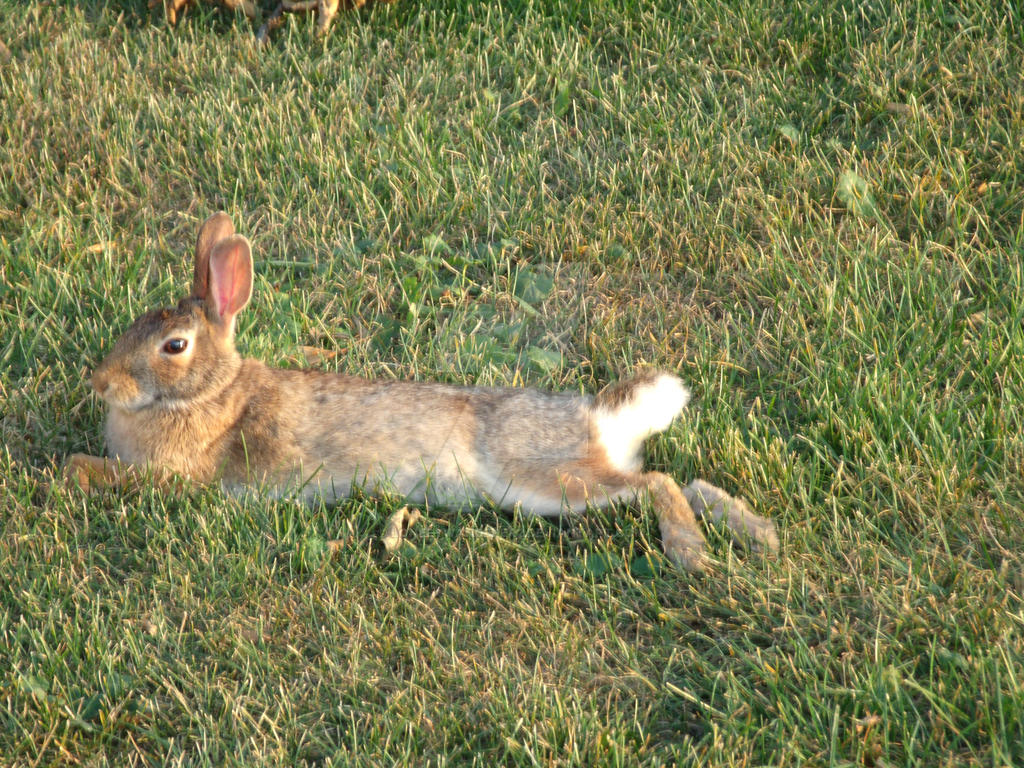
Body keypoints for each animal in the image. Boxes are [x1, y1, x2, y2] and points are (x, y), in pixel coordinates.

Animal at [65, 212, 779, 572]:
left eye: (173, 346)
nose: (100, 381)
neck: (210, 391)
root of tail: (600, 419)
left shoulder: (174, 477)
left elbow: (88, 469)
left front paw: (67, 474)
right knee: (682, 481)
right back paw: (758, 533)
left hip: (540, 478)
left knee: (658, 482)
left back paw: (690, 553)